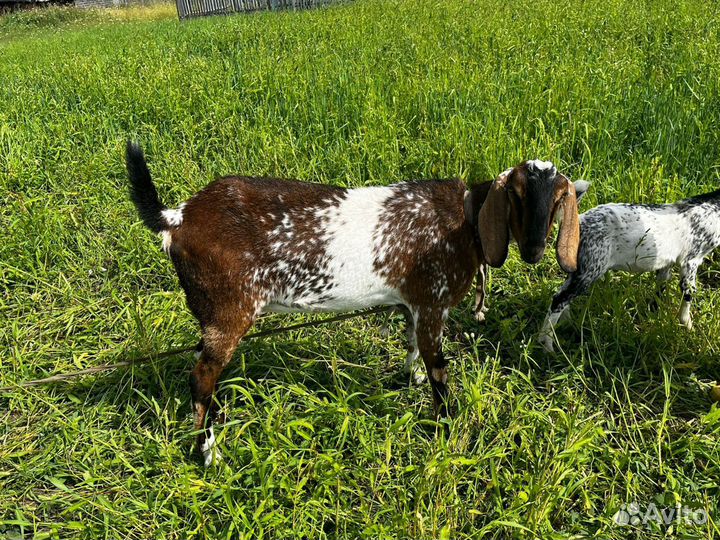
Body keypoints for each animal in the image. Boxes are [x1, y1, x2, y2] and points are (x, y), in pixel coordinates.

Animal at [126, 142, 584, 464]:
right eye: (518, 195)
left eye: (557, 200)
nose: (534, 250)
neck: (466, 221)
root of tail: (178, 219)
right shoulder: (432, 302)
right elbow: (439, 367)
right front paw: (446, 429)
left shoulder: (412, 302)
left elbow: (412, 344)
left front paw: (411, 377)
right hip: (228, 312)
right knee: (201, 378)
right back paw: (209, 452)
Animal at [536, 188, 720, 352]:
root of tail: (580, 221)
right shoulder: (691, 260)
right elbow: (688, 294)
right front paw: (688, 327)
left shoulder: (665, 263)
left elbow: (660, 287)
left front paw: (652, 313)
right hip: (591, 267)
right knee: (559, 299)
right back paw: (547, 345)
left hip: (578, 266)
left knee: (563, 294)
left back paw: (566, 322)